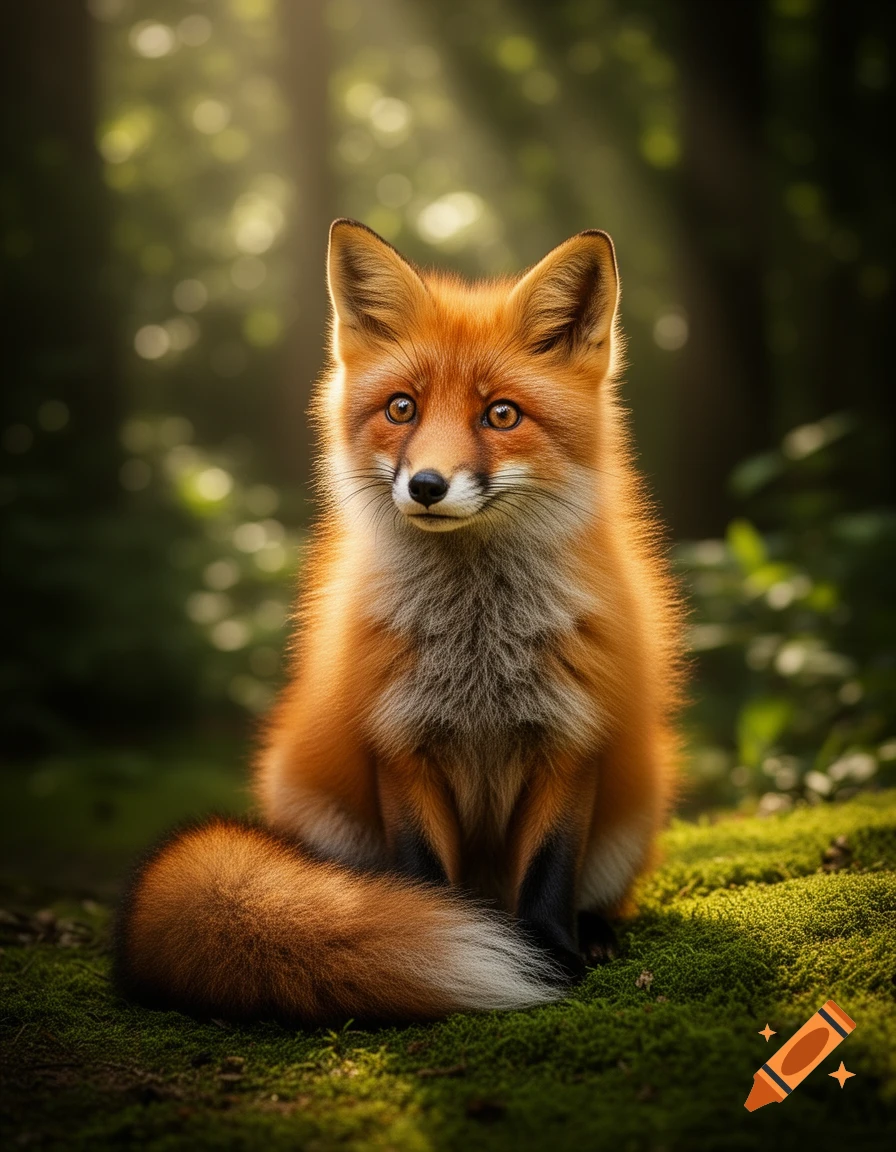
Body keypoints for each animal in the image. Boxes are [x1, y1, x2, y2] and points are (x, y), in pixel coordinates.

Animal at [114, 220, 684, 1025]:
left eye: (501, 414)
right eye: (402, 409)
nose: (427, 485)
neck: (478, 648)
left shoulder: (571, 739)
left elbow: (550, 870)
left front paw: (551, 954)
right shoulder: (400, 742)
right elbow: (420, 874)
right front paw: (431, 936)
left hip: (634, 812)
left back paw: (594, 931)